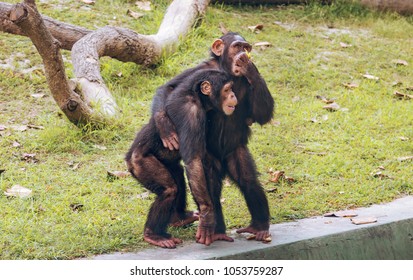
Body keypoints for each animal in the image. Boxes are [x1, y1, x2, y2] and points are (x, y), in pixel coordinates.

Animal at [124, 69, 237, 248]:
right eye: (227, 89)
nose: (233, 95)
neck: (201, 100)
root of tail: (128, 157)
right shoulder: (191, 114)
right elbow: (193, 162)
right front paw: (207, 217)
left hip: (168, 164)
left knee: (178, 177)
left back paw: (179, 218)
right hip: (139, 164)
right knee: (170, 189)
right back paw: (153, 235)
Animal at [152, 31, 274, 245]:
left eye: (246, 48)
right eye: (237, 47)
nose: (243, 55)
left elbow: (262, 114)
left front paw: (250, 68)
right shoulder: (199, 71)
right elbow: (170, 87)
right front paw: (164, 125)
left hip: (235, 152)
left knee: (248, 180)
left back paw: (258, 227)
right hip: (210, 157)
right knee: (210, 183)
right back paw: (215, 230)